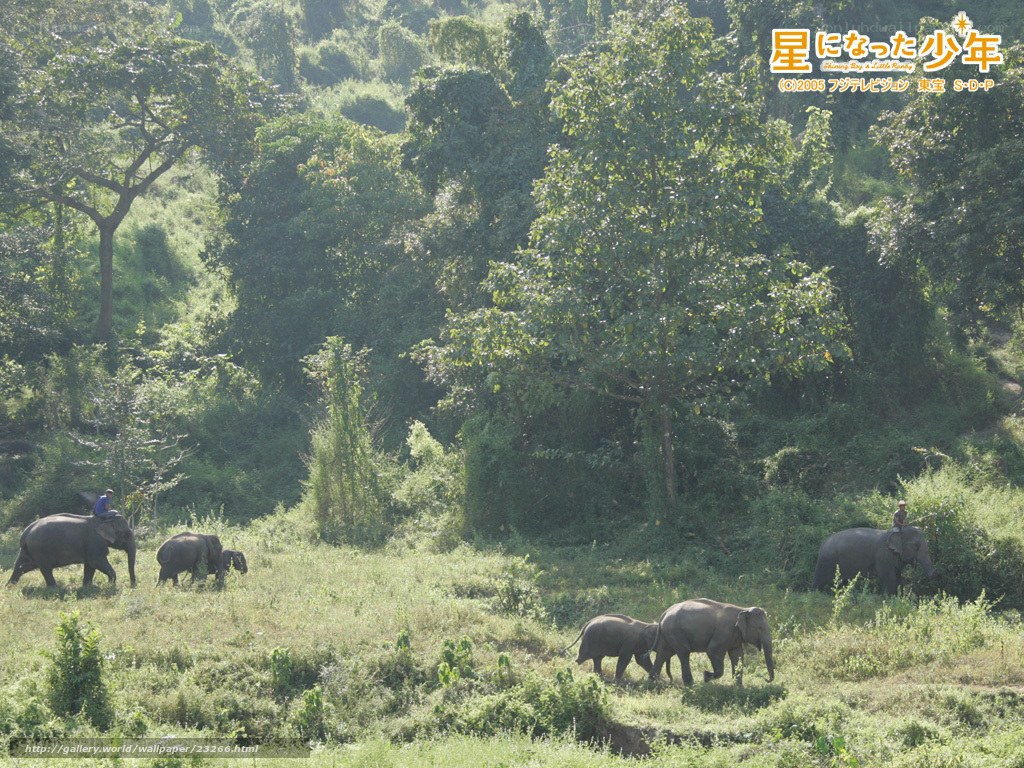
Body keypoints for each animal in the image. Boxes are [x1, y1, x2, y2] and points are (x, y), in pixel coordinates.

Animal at [7, 512, 137, 588]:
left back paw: (10, 586)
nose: (133, 585)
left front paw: (87, 587)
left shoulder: (90, 546)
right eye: (127, 534)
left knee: (24, 566)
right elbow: (96, 562)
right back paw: (55, 588)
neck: (103, 520)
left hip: (29, 551)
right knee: (45, 569)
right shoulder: (95, 542)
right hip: (40, 550)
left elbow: (90, 566)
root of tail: (25, 533)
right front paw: (110, 585)